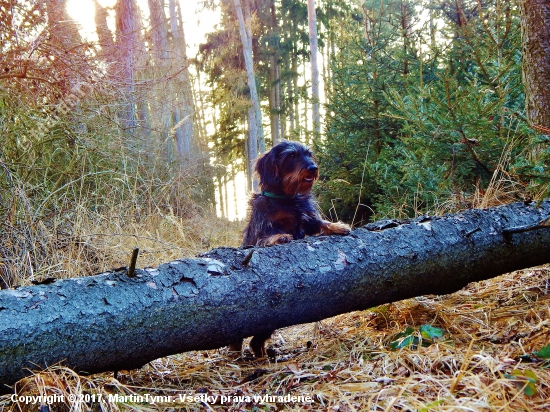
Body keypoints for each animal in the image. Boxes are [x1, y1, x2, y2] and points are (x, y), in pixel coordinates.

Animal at [231, 141, 352, 358]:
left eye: (308, 154)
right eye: (292, 156)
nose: (313, 168)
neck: (286, 198)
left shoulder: (308, 218)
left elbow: (320, 222)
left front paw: (338, 226)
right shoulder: (263, 228)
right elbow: (267, 237)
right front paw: (280, 237)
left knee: (255, 342)